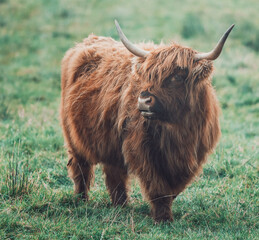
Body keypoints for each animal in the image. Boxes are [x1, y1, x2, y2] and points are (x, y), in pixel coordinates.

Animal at [61, 20, 236, 221]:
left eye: (177, 76)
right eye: (148, 75)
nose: (144, 100)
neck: (178, 129)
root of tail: (86, 42)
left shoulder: (193, 155)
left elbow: (174, 188)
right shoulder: (142, 151)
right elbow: (157, 186)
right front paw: (163, 218)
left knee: (114, 173)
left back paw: (121, 205)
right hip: (73, 136)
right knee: (80, 168)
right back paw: (81, 200)